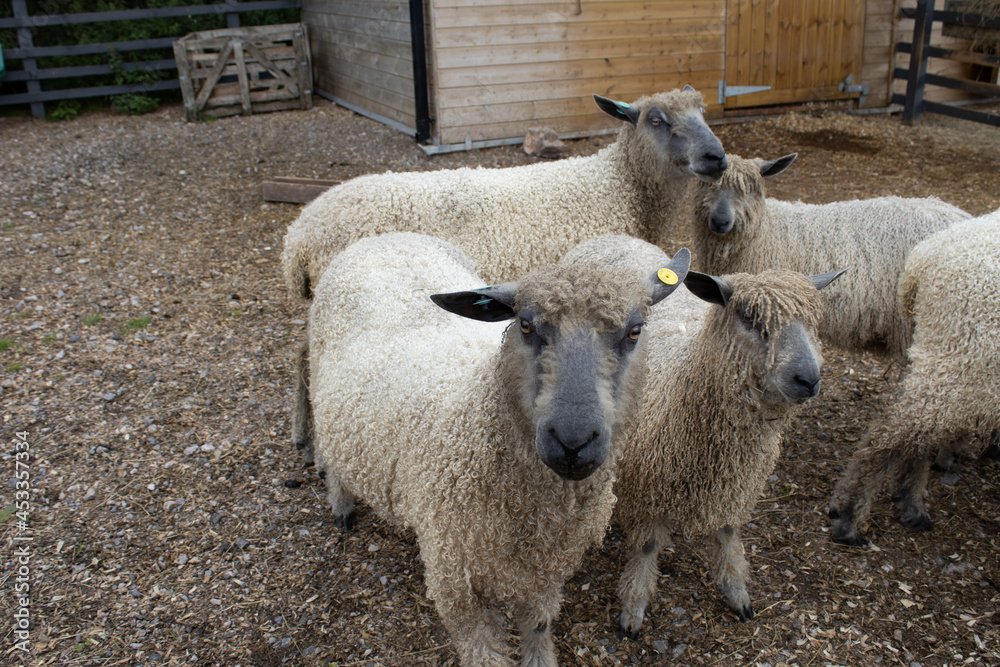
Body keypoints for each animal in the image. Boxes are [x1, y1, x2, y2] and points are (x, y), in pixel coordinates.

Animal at [308, 231, 691, 666]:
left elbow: (538, 626)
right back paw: (341, 504)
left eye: (635, 331)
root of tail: (385, 237)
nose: (573, 440)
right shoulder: (454, 582)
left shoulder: (545, 570)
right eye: (524, 325)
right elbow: (483, 652)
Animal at [560, 234, 843, 635]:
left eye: (812, 321)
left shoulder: (732, 486)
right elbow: (647, 548)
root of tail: (610, 236)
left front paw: (737, 591)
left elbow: (726, 536)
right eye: (750, 318)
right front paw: (634, 606)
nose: (809, 379)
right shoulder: (651, 487)